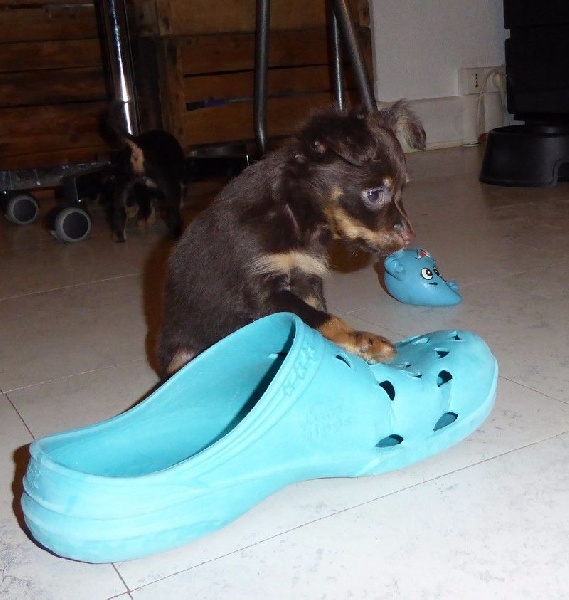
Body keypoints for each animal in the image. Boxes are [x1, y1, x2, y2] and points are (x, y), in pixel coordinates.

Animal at [157, 101, 426, 376]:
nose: (410, 237)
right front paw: (364, 340)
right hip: (181, 352)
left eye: (402, 190)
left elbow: (316, 315)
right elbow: (322, 318)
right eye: (374, 194)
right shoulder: (264, 290)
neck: (294, 214)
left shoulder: (305, 277)